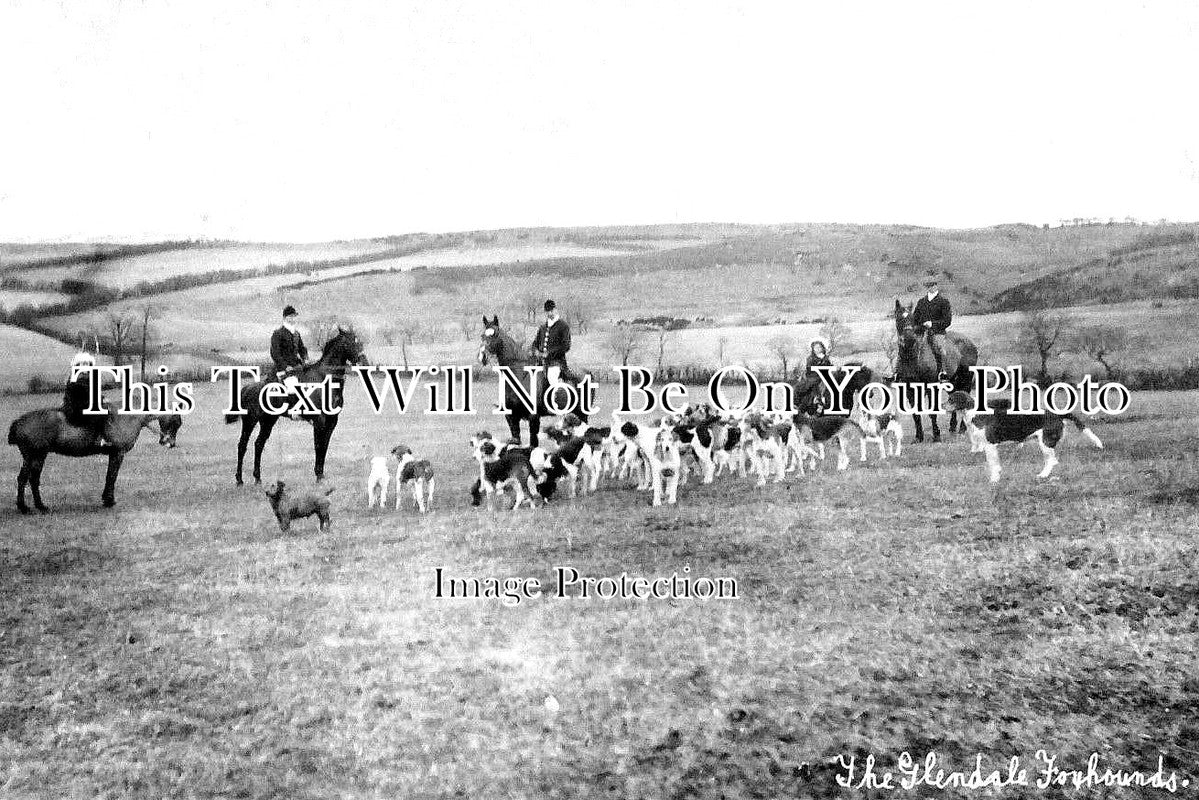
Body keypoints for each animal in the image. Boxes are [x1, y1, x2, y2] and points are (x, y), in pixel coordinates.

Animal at [8, 407, 173, 513]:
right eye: (176, 421)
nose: (170, 443)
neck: (128, 417)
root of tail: (19, 422)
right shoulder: (118, 454)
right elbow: (112, 477)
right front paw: (109, 500)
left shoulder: (113, 455)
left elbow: (109, 476)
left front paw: (106, 499)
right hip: (34, 456)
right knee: (24, 479)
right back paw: (24, 508)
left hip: (38, 457)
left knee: (32, 479)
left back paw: (40, 506)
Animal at [225, 323, 369, 484]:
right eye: (350, 343)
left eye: (360, 342)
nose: (364, 363)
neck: (325, 378)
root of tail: (247, 388)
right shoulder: (319, 420)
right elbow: (318, 446)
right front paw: (318, 476)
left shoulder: (332, 421)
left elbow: (325, 446)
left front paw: (321, 475)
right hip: (250, 421)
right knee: (242, 445)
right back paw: (239, 480)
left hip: (268, 420)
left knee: (259, 444)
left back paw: (257, 478)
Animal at [477, 314, 589, 450]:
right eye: (482, 335)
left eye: (495, 335)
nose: (482, 357)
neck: (520, 376)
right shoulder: (511, 416)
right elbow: (516, 440)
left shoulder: (533, 417)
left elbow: (533, 443)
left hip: (582, 413)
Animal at [896, 298, 978, 441]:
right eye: (899, 318)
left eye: (912, 319)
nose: (909, 339)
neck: (913, 357)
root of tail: (970, 342)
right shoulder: (909, 389)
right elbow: (915, 414)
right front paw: (919, 437)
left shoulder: (931, 387)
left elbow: (932, 412)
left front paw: (936, 436)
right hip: (951, 381)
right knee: (954, 398)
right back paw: (952, 428)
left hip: (966, 378)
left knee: (964, 397)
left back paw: (962, 429)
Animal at [944, 388, 1103, 482]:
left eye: (951, 399)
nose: (941, 405)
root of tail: (1056, 414)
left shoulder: (990, 445)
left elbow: (993, 464)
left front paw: (994, 479)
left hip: (1045, 442)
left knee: (1051, 461)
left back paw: (1043, 475)